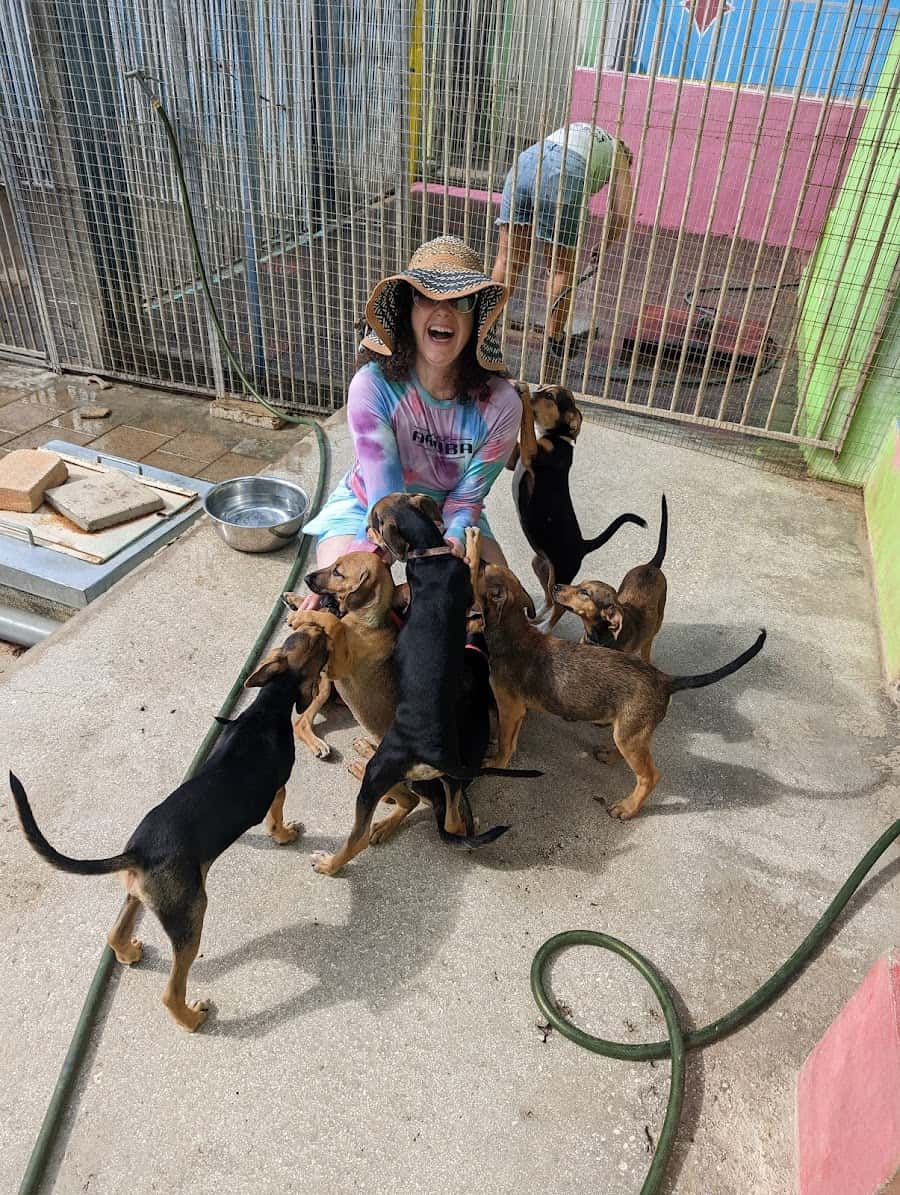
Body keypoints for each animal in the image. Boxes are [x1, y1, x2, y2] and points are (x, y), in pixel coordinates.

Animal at [8, 622, 334, 1030]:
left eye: (306, 632)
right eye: (316, 641)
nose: (323, 624)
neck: (266, 706)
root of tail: (138, 853)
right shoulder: (278, 789)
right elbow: (276, 818)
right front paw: (286, 835)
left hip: (142, 896)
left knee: (114, 931)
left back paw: (128, 953)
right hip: (190, 915)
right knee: (170, 990)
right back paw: (192, 1018)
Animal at [309, 494, 540, 875]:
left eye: (373, 522)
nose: (367, 533)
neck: (432, 552)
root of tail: (430, 754)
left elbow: (469, 564)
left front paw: (472, 541)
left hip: (380, 775)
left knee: (367, 829)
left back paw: (331, 860)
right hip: (442, 781)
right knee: (452, 822)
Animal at [477, 563, 765, 819]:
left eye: (480, 567)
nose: (556, 585)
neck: (512, 632)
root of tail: (664, 679)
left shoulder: (510, 708)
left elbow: (505, 743)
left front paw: (496, 764)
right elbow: (508, 739)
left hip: (631, 735)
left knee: (650, 776)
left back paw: (627, 808)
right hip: (630, 731)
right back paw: (610, 756)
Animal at [512, 383, 647, 628]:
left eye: (549, 396)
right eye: (542, 387)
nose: (532, 386)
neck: (557, 437)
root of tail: (584, 545)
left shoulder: (531, 453)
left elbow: (526, 421)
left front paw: (522, 392)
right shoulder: (520, 454)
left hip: (561, 573)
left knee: (560, 606)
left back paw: (545, 628)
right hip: (541, 564)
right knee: (550, 597)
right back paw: (539, 618)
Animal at [554, 493, 668, 661]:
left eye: (585, 593)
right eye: (579, 584)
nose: (555, 586)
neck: (598, 637)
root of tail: (652, 565)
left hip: (656, 625)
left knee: (647, 647)